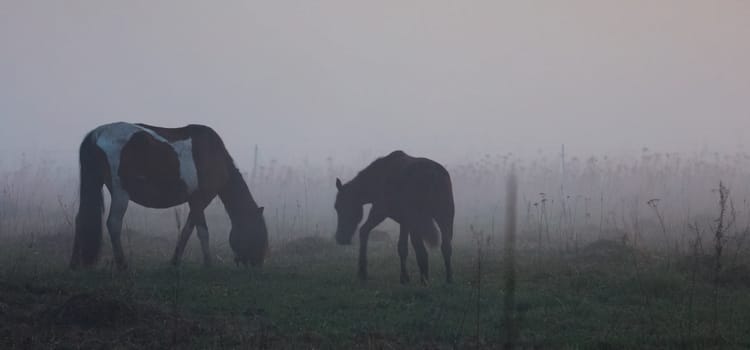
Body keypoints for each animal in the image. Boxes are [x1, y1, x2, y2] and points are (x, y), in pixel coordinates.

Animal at [70, 121, 270, 270]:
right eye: (258, 232)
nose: (257, 263)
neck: (214, 156)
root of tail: (96, 134)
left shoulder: (194, 202)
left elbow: (187, 230)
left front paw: (175, 261)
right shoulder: (199, 199)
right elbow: (202, 232)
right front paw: (208, 264)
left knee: (80, 220)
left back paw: (74, 264)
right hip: (121, 193)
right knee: (113, 224)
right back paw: (122, 265)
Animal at [336, 150, 456, 284]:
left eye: (340, 207)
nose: (340, 238)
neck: (376, 180)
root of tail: (434, 176)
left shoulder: (379, 210)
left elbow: (363, 231)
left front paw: (362, 272)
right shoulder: (404, 222)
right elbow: (402, 248)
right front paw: (404, 278)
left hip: (419, 220)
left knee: (422, 251)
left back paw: (424, 281)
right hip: (445, 217)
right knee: (446, 247)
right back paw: (448, 279)